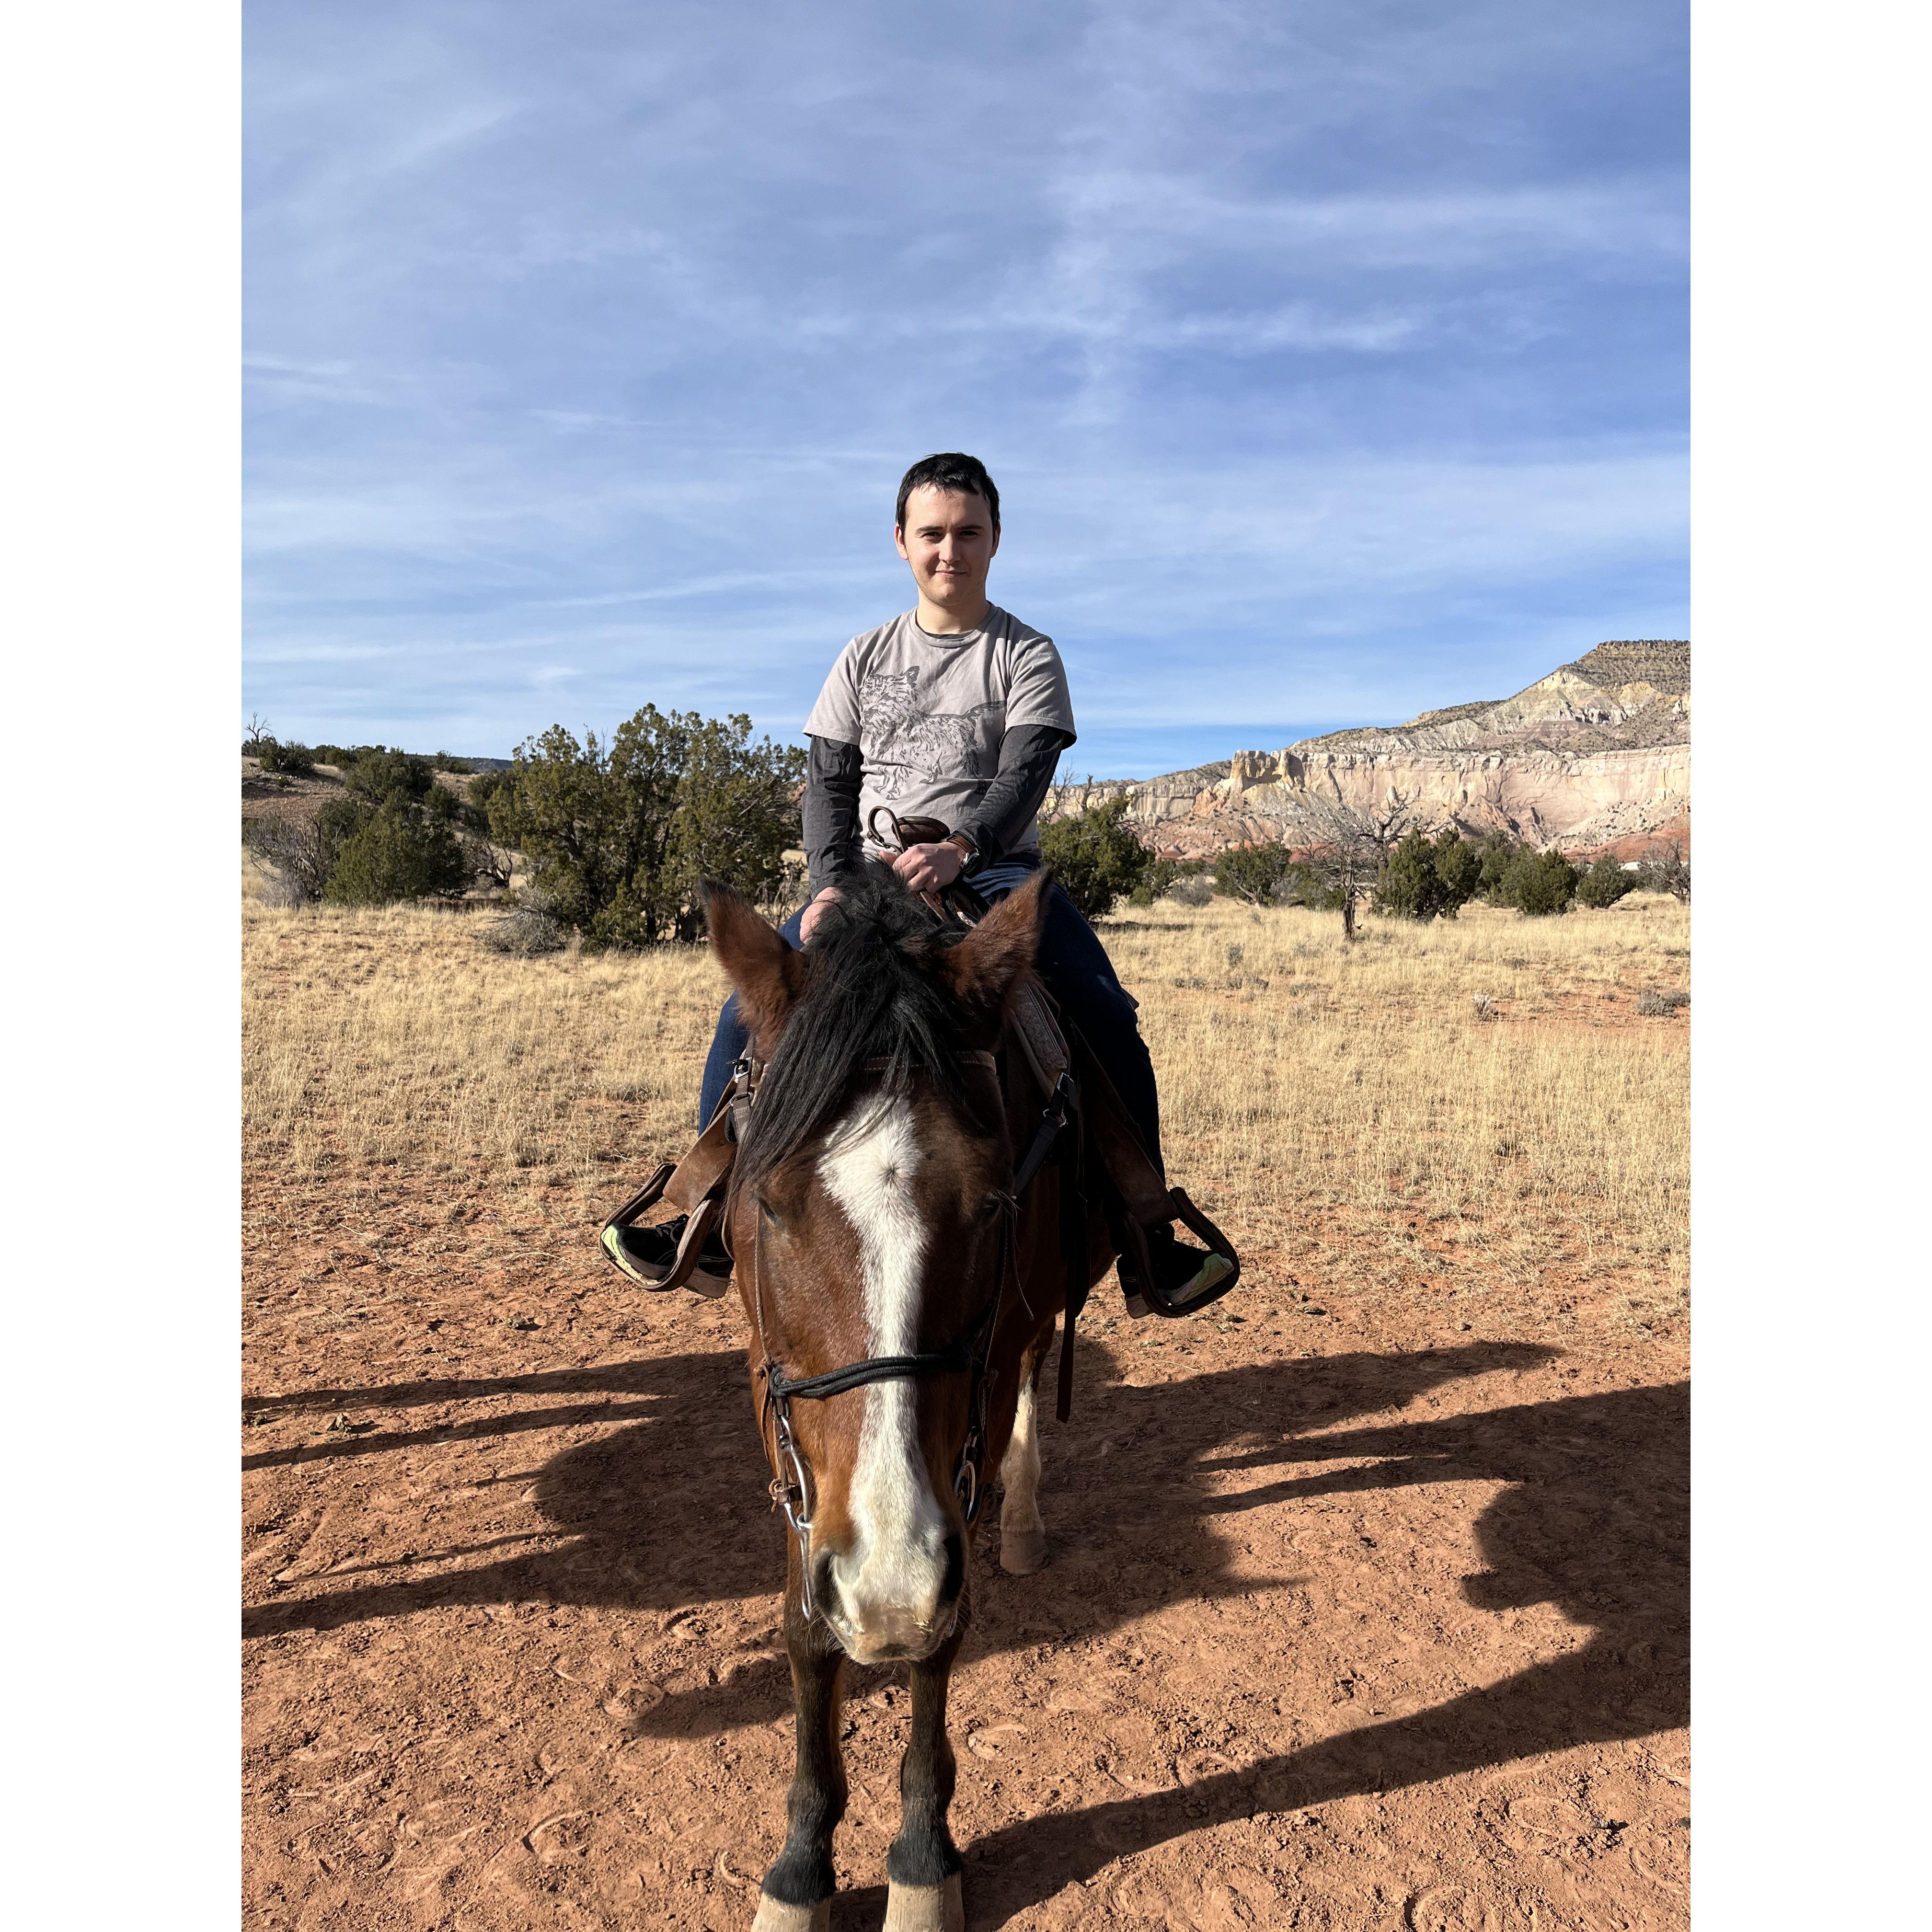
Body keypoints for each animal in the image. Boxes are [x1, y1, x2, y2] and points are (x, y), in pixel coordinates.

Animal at [707, 869, 1105, 1932]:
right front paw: (800, 1867)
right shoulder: (772, 1395)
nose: (884, 1581)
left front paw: (923, 1858)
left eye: (992, 1204)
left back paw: (1023, 1519)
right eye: (768, 1203)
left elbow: (940, 1633)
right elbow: (806, 1626)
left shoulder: (982, 1386)